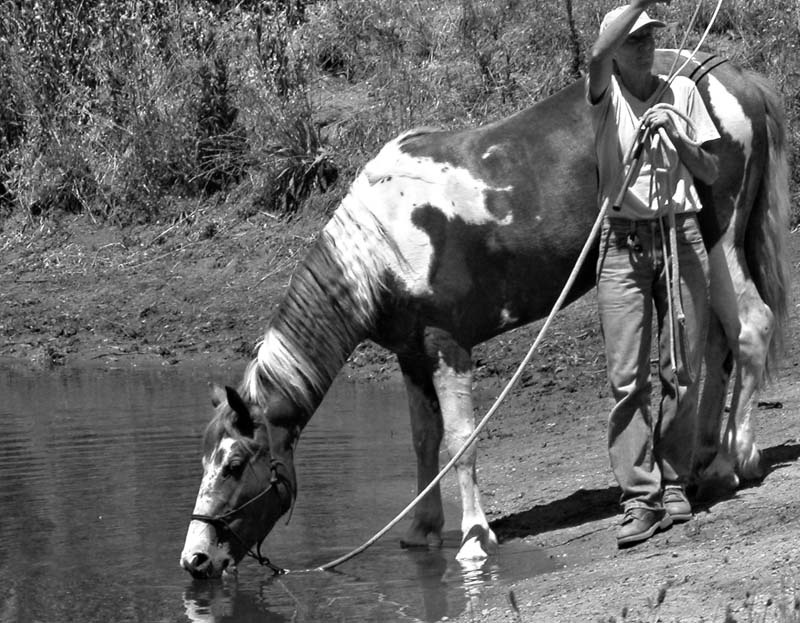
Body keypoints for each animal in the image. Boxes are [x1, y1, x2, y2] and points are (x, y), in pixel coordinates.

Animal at [180, 50, 791, 579]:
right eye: (205, 458)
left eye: (234, 465)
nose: (195, 560)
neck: (383, 241)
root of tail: (733, 76)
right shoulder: (410, 356)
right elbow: (424, 442)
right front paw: (423, 530)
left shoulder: (446, 345)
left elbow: (460, 442)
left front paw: (474, 539)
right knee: (716, 342)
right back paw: (702, 461)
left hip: (718, 239)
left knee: (750, 329)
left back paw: (732, 460)